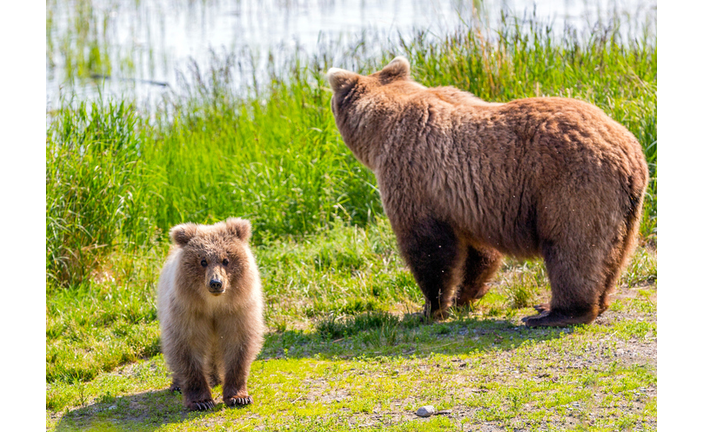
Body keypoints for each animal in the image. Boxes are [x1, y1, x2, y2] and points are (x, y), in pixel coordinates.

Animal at [328, 58, 652, 328]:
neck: (382, 130)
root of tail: (629, 153)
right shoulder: (471, 198)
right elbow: (478, 252)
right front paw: (464, 296)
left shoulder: (413, 173)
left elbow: (428, 246)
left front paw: (430, 308)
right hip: (626, 206)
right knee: (614, 253)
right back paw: (594, 301)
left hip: (571, 185)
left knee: (572, 249)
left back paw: (553, 313)